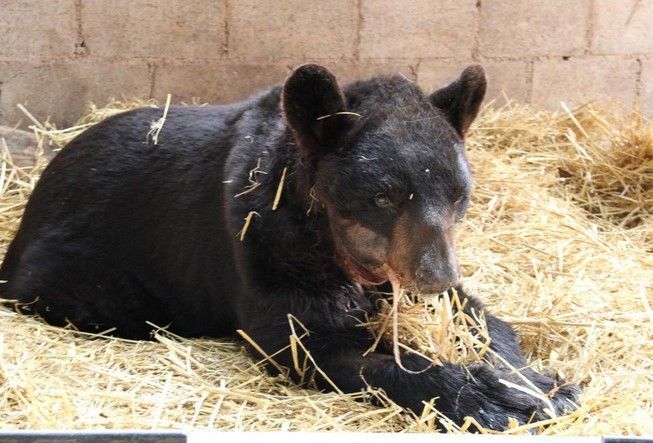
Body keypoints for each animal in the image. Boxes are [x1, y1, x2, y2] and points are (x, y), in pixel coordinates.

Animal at [0, 64, 579, 430]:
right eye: (383, 196)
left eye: (459, 195)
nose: (435, 275)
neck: (333, 243)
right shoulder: (265, 246)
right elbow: (310, 342)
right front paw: (494, 400)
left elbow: (475, 317)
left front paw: (532, 381)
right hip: (82, 268)